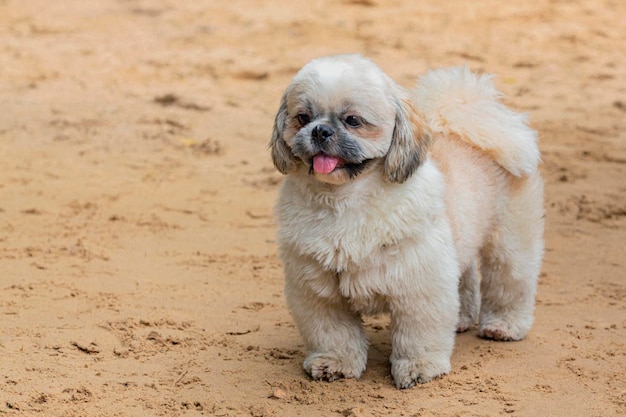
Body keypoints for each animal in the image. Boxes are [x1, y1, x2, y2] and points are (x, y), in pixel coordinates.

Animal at [268, 53, 540, 388]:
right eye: (302, 118)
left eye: (353, 120)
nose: (320, 131)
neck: (346, 202)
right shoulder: (319, 292)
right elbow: (334, 335)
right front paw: (335, 363)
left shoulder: (420, 284)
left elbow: (417, 336)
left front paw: (418, 367)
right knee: (465, 278)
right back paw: (462, 319)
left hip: (510, 242)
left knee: (510, 282)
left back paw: (504, 325)